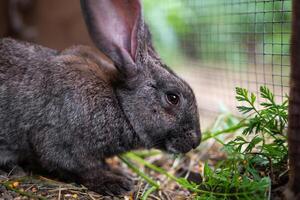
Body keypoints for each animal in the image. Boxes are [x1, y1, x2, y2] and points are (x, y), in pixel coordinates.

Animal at [0, 0, 202, 195]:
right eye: (173, 97)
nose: (196, 141)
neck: (120, 104)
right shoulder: (58, 142)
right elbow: (80, 169)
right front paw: (115, 183)